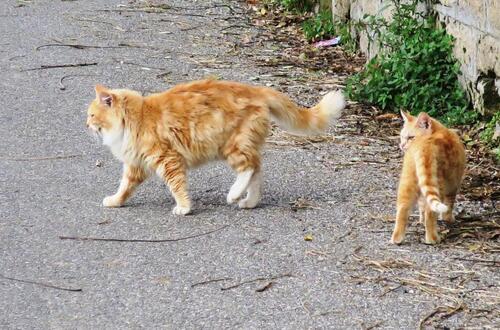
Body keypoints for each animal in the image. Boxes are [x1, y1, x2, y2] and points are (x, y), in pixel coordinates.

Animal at [86, 79, 346, 215]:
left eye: (91, 115)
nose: (86, 124)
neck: (137, 117)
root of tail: (255, 89)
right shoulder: (135, 164)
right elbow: (124, 187)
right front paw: (115, 201)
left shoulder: (168, 160)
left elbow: (177, 187)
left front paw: (184, 208)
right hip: (241, 145)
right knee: (257, 170)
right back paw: (249, 201)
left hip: (232, 146)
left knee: (249, 168)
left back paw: (233, 194)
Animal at [390, 112, 464, 244]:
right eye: (402, 136)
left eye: (410, 137)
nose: (402, 145)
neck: (437, 131)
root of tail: (425, 144)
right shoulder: (453, 184)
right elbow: (449, 204)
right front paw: (449, 219)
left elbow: (421, 206)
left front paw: (420, 220)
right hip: (439, 184)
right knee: (431, 213)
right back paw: (432, 239)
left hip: (408, 182)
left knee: (402, 209)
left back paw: (397, 238)